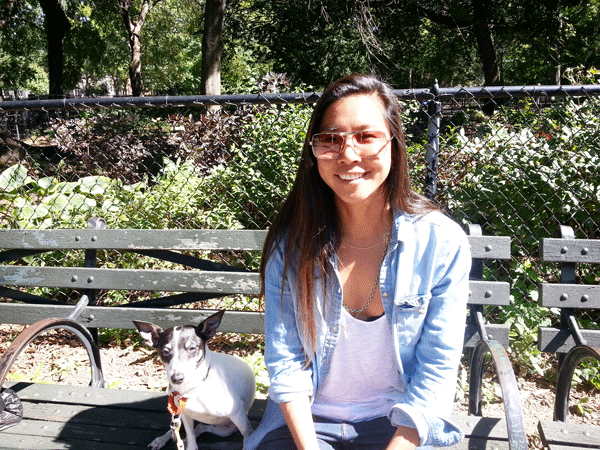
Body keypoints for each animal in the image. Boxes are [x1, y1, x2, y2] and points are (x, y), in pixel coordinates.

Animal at [134, 312, 255, 448]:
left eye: (192, 348)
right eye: (165, 351)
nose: (177, 378)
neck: (193, 387)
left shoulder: (239, 417)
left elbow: (247, 436)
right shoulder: (186, 415)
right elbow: (190, 435)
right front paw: (189, 444)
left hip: (225, 429)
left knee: (201, 427)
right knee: (188, 428)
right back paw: (162, 440)